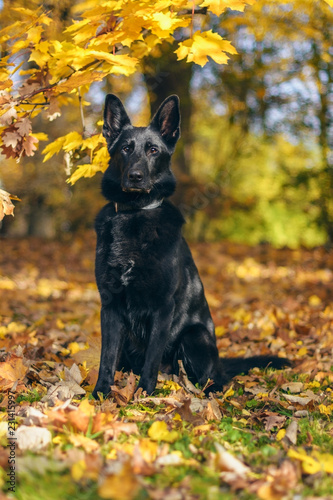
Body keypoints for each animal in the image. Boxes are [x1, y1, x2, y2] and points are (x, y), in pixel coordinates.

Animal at [92, 94, 290, 398]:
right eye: (126, 149)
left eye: (152, 150)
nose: (135, 176)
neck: (135, 214)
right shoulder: (110, 306)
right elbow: (106, 357)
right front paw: (100, 394)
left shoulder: (163, 308)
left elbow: (151, 359)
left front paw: (144, 395)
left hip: (194, 337)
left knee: (213, 380)